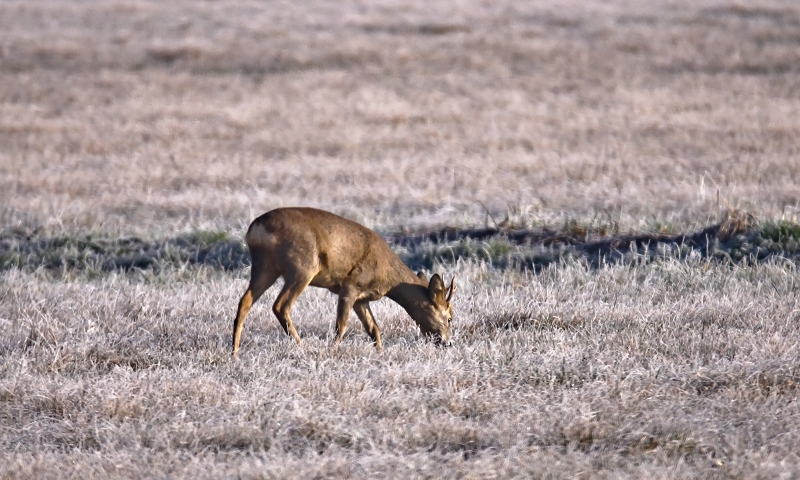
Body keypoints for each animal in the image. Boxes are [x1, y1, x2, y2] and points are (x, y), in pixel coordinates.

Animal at [231, 207, 456, 356]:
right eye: (449, 318)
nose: (448, 343)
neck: (388, 276)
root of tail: (256, 227)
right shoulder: (350, 285)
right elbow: (342, 324)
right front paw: (332, 351)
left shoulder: (362, 299)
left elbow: (373, 328)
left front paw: (381, 353)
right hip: (302, 267)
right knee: (280, 305)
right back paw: (302, 345)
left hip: (265, 267)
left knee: (245, 301)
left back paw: (234, 352)